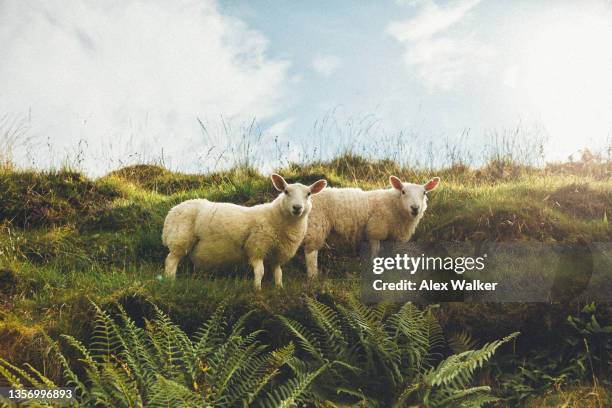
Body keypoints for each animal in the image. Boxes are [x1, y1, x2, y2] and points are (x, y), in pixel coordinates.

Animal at [160, 175, 328, 290]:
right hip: (180, 239)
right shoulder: (256, 248)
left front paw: (279, 288)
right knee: (171, 261)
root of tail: (171, 212)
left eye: (308, 194)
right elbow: (260, 271)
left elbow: (278, 273)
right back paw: (170, 282)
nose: (297, 208)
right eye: (286, 191)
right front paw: (257, 289)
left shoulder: (277, 254)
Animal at [302, 175, 440, 280]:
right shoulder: (375, 230)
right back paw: (313, 277)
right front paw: (374, 268)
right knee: (310, 253)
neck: (395, 206)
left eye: (424, 193)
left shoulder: (397, 237)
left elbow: (395, 255)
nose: (415, 208)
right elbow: (375, 252)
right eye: (403, 192)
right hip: (315, 225)